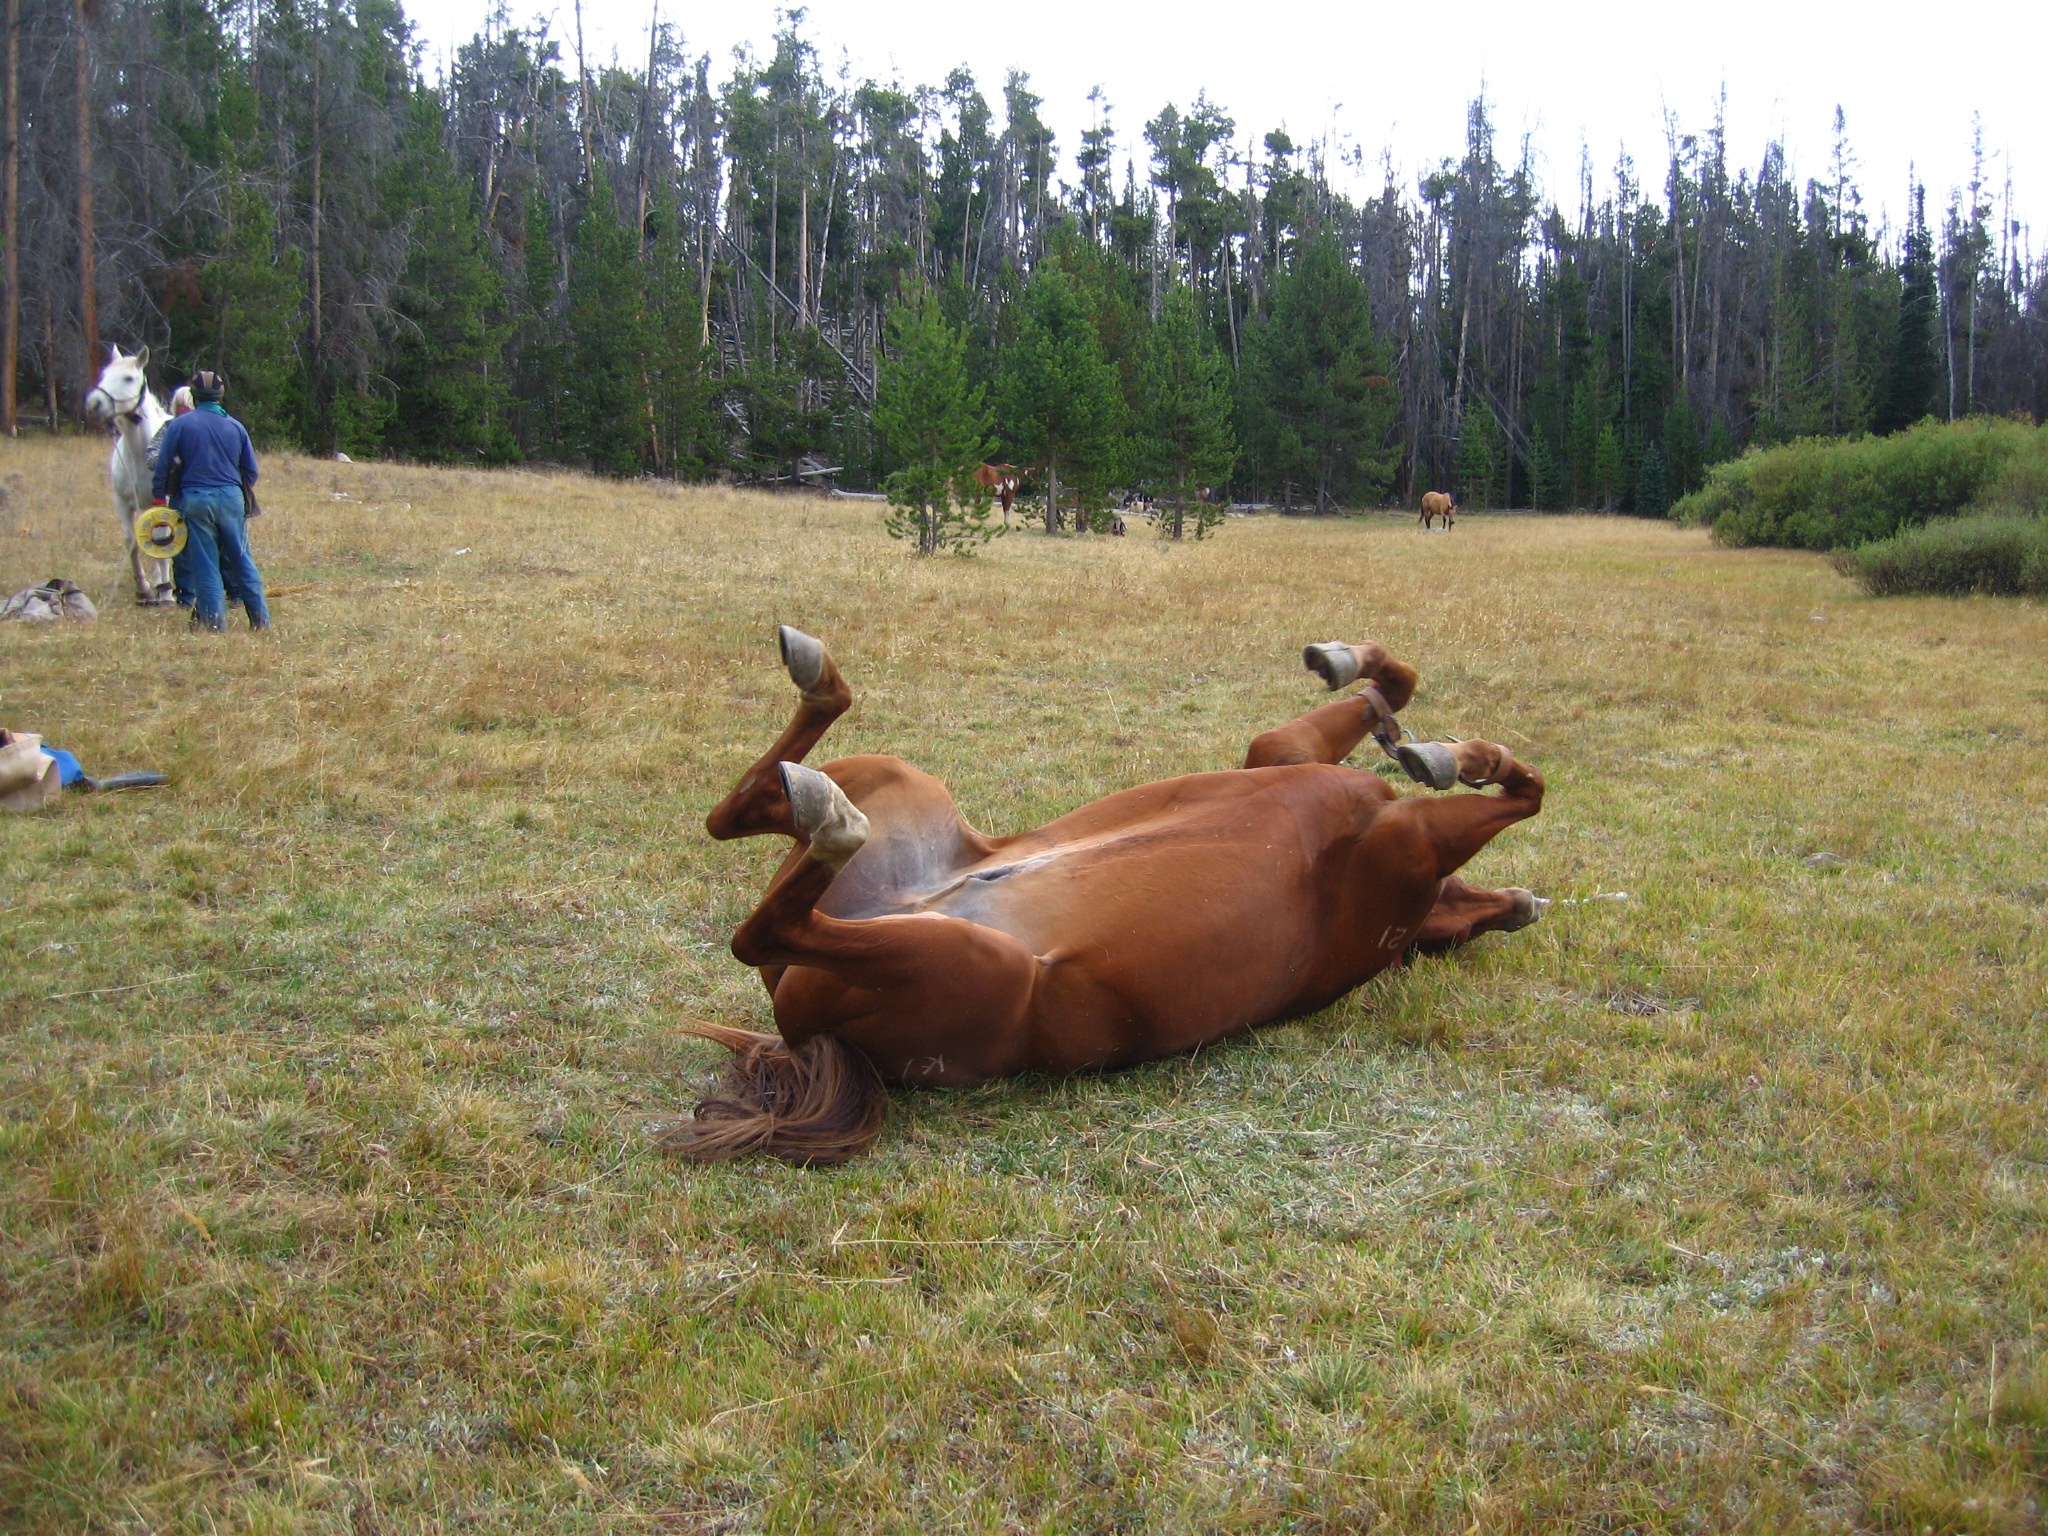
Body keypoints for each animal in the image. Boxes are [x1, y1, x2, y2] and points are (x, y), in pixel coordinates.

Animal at [83, 347, 175, 606]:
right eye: (104, 375)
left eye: (129, 378)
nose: (94, 404)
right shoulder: (123, 502)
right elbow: (131, 542)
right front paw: (143, 589)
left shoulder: (163, 503)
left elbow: (163, 544)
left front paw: (166, 594)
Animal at [670, 627, 1547, 1164]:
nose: (1516, 907)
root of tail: (803, 1037)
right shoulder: (1289, 761)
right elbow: (1396, 688)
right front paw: (1371, 687)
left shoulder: (1408, 843)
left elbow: (1527, 791)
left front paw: (1457, 756)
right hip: (900, 788)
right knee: (735, 822)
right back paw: (817, 701)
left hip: (968, 957)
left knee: (758, 923)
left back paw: (829, 810)